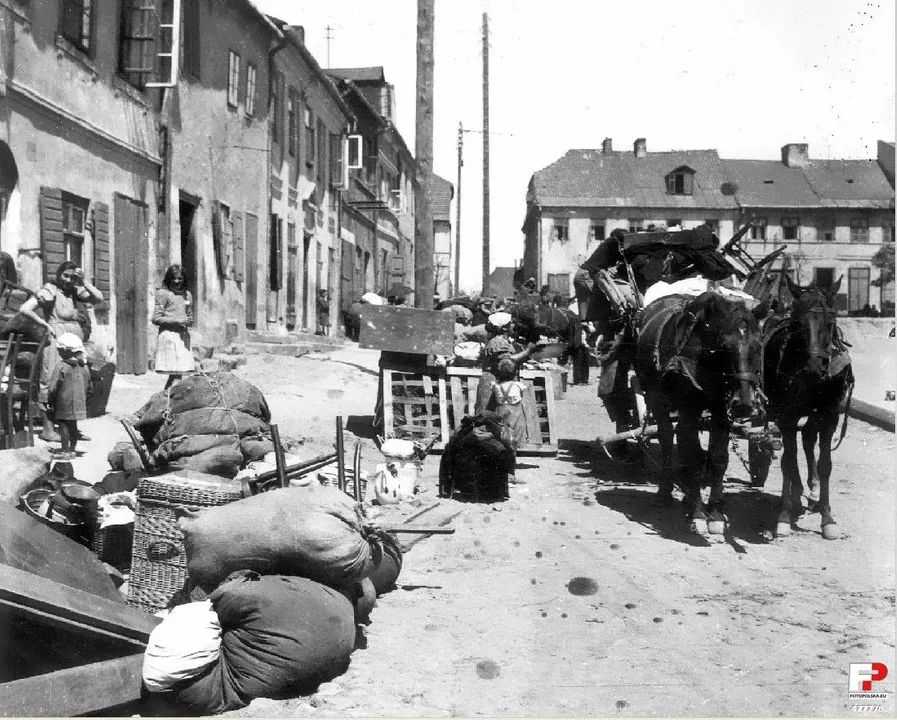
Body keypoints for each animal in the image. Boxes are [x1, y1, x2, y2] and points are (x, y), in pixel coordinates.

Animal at [632, 292, 760, 536]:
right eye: (724, 346)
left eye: (757, 346)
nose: (744, 404)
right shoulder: (689, 409)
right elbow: (691, 456)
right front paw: (699, 513)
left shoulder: (720, 410)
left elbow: (718, 458)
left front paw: (716, 513)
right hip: (656, 397)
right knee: (666, 437)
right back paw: (665, 492)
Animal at [764, 278, 856, 540]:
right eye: (797, 324)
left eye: (831, 321)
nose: (814, 367)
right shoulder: (785, 415)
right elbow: (788, 461)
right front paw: (784, 516)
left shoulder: (830, 415)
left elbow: (825, 465)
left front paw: (828, 518)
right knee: (794, 451)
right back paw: (795, 494)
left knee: (806, 439)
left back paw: (812, 491)